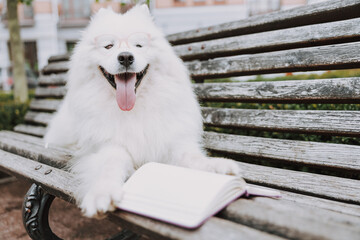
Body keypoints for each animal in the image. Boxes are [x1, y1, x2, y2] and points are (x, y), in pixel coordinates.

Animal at [45, 4, 242, 218]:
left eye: (139, 45)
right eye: (108, 46)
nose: (125, 57)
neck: (134, 108)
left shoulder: (171, 142)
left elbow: (193, 158)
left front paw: (217, 166)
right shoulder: (109, 146)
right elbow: (109, 166)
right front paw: (102, 193)